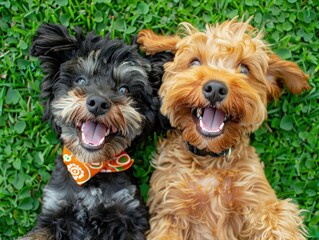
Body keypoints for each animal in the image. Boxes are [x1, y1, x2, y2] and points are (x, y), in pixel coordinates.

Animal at [21, 23, 172, 240]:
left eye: (124, 89)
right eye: (81, 80)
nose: (98, 103)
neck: (92, 171)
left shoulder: (128, 214)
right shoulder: (54, 211)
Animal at [138, 18, 310, 240]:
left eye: (245, 69)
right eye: (194, 62)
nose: (215, 88)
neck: (210, 161)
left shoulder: (261, 202)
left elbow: (276, 222)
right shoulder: (170, 211)